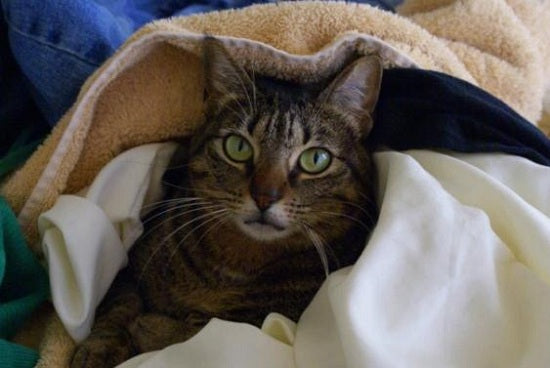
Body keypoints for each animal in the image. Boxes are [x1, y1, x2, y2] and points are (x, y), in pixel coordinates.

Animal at [70, 38, 384, 368]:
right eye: (238, 147)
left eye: (316, 159)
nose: (265, 196)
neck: (239, 259)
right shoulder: (131, 266)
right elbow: (120, 304)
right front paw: (101, 348)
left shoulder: (261, 324)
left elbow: (195, 335)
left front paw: (150, 329)